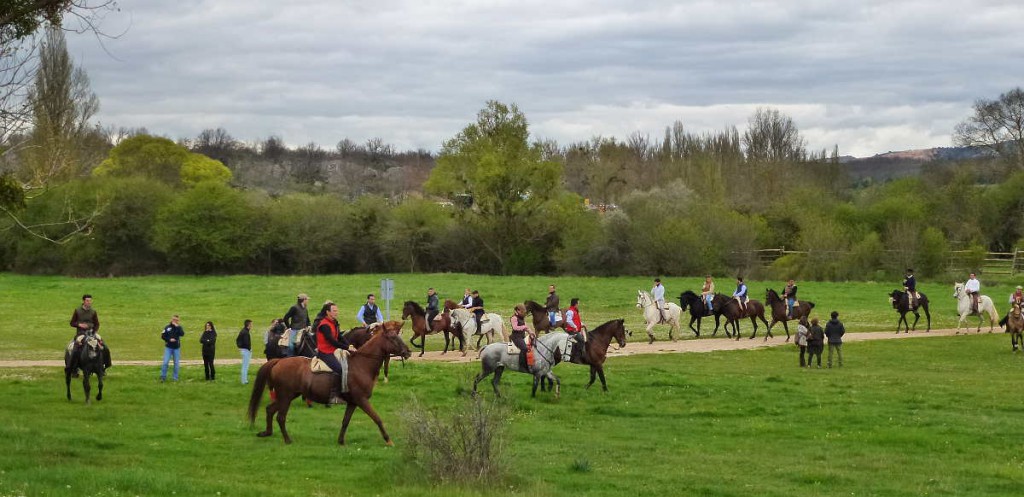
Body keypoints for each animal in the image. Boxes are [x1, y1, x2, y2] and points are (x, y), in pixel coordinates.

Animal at [245, 319, 409, 442]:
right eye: (393, 338)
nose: (408, 352)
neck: (361, 364)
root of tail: (278, 362)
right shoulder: (361, 400)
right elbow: (377, 418)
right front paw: (388, 440)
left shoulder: (353, 402)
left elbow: (345, 421)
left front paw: (341, 441)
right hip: (285, 396)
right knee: (280, 416)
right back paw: (287, 439)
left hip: (288, 395)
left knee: (270, 410)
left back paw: (267, 432)